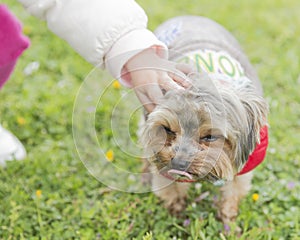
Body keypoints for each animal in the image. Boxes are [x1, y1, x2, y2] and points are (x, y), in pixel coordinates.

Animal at [139, 15, 268, 224]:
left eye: (210, 137)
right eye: (167, 130)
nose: (179, 163)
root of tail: (186, 16)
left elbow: (232, 193)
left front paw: (229, 223)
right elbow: (171, 190)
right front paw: (177, 216)